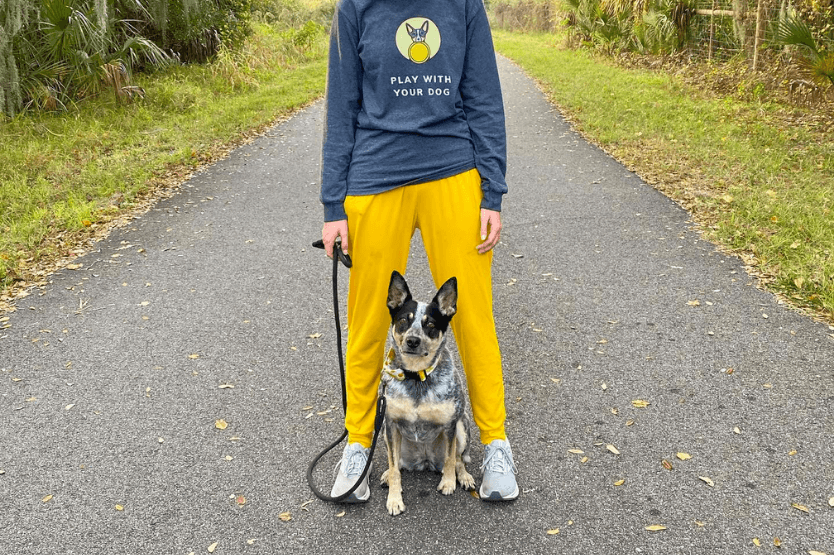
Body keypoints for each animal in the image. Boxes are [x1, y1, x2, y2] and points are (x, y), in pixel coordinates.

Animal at [378, 272, 474, 516]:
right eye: (404, 320)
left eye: (430, 324)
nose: (413, 340)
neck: (416, 377)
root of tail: (425, 461)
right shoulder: (390, 424)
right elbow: (394, 467)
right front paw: (394, 499)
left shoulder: (450, 424)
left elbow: (450, 459)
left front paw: (449, 483)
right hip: (384, 433)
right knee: (397, 463)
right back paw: (386, 474)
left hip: (462, 426)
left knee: (459, 459)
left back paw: (464, 477)